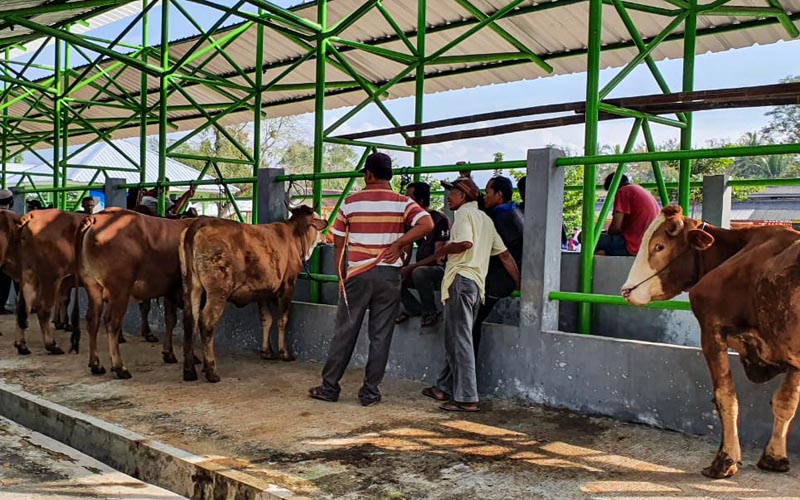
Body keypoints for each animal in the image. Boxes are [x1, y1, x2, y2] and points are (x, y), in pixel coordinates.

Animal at [77, 208, 195, 378]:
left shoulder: (170, 292)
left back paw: (96, 364)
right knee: (112, 322)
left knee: (93, 320)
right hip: (120, 290)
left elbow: (171, 319)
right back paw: (120, 367)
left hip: (92, 286)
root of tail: (96, 217)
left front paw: (169, 353)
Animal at [181, 205, 328, 380]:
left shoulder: (262, 291)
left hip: (192, 287)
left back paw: (190, 371)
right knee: (206, 321)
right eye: (316, 217)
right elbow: (282, 319)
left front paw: (266, 351)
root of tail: (201, 222)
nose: (325, 234)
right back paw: (211, 371)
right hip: (218, 291)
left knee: (190, 320)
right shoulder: (288, 285)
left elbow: (266, 319)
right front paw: (284, 353)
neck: (294, 236)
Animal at [620, 205, 800, 478]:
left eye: (659, 246)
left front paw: (725, 461)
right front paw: (774, 457)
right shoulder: (791, 356)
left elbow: (726, 397)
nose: (626, 290)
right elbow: (786, 402)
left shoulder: (711, 332)